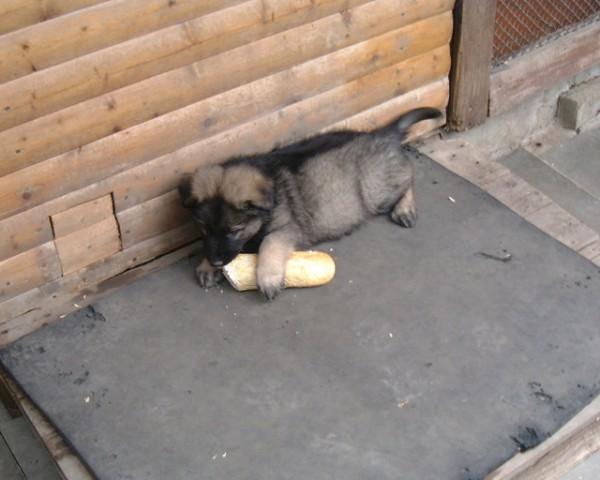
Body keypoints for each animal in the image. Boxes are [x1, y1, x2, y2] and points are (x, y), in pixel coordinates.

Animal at [179, 107, 441, 299]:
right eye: (203, 229)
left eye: (235, 230)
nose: (216, 261)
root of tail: (380, 134)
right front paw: (207, 266)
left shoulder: (287, 229)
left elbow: (269, 244)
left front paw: (267, 276)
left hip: (376, 190)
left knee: (408, 175)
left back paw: (405, 209)